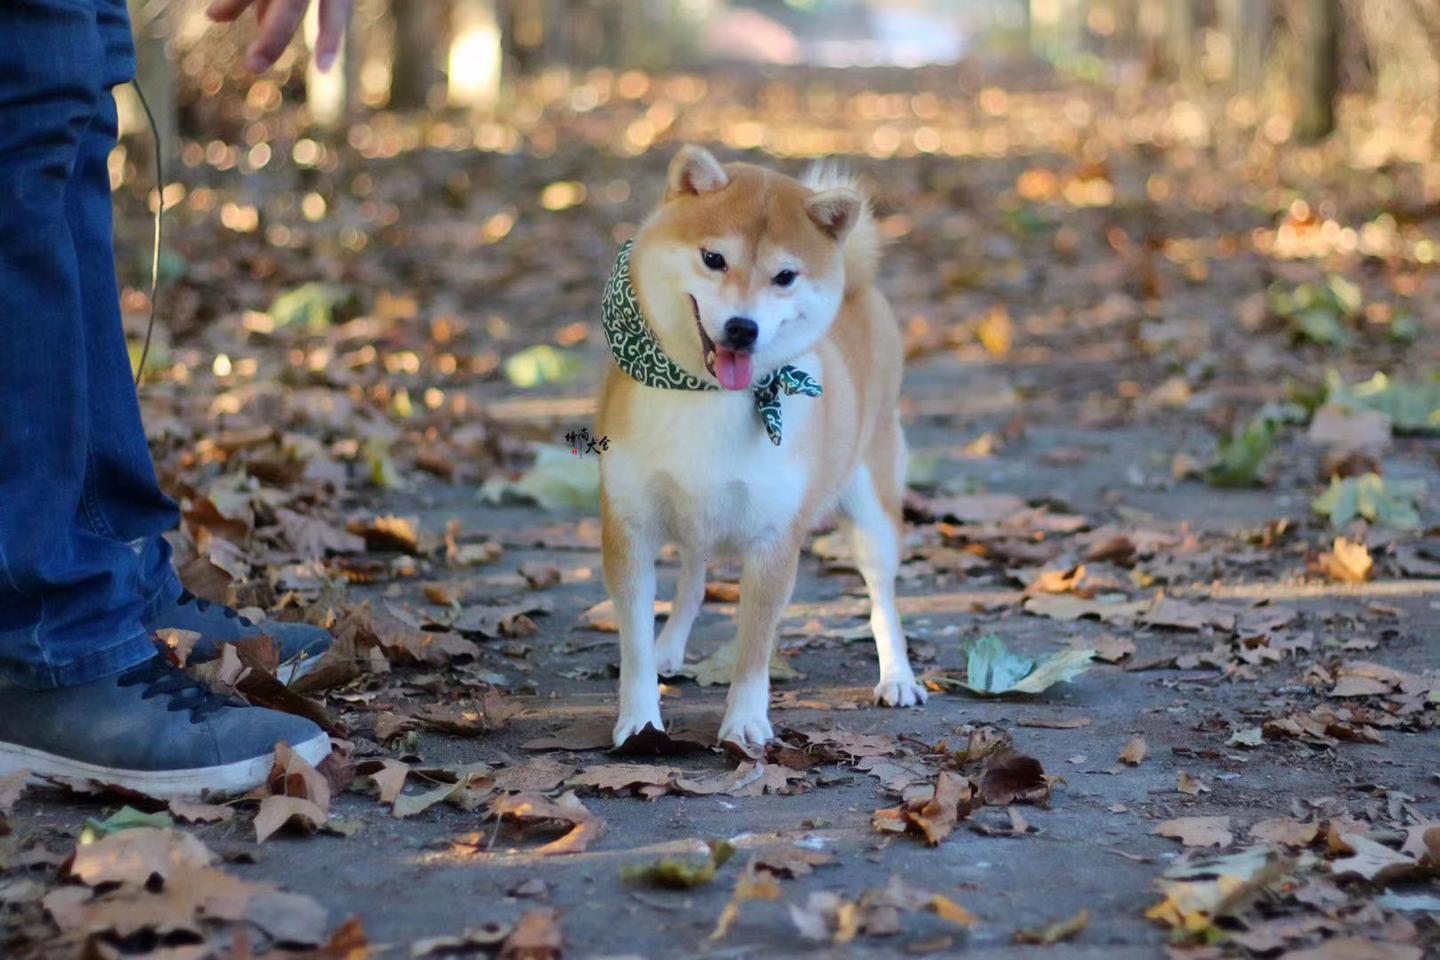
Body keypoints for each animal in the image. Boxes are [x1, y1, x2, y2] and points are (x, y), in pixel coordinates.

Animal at [596, 144, 921, 759]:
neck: (706, 395)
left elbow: (753, 646)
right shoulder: (629, 526)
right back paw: (671, 646)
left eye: (785, 276)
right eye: (713, 259)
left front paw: (745, 723)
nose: (742, 329)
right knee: (694, 577)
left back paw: (898, 676)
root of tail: (861, 284)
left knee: (883, 598)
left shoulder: (774, 541)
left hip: (872, 509)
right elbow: (636, 648)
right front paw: (640, 721)